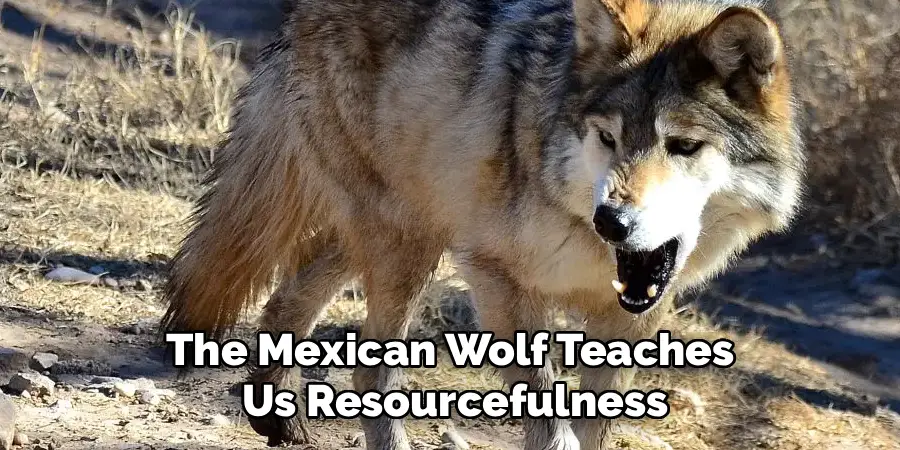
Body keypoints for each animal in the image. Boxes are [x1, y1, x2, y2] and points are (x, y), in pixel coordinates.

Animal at [160, 0, 805, 448]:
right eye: (608, 138)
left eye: (683, 146)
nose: (612, 222)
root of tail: (297, 13)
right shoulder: (498, 277)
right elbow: (551, 423)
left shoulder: (627, 317)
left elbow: (595, 423)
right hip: (408, 242)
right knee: (370, 373)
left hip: (415, 226)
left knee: (291, 294)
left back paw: (276, 415)